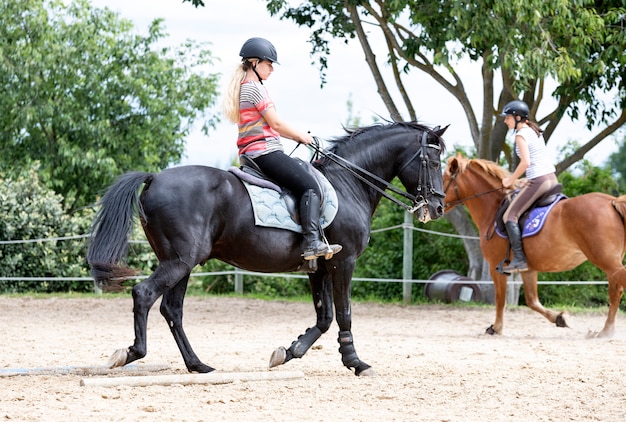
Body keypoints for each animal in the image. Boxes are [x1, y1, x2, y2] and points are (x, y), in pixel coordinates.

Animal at [88, 122, 446, 376]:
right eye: (433, 161)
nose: (438, 207)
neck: (349, 185)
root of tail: (155, 178)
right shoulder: (344, 262)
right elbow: (344, 313)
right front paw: (356, 362)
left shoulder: (319, 267)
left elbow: (325, 316)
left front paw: (288, 352)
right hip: (179, 261)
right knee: (144, 295)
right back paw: (132, 353)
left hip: (182, 263)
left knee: (172, 310)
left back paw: (198, 365)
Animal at [442, 154, 624, 336]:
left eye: (443, 180)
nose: (435, 208)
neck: (493, 209)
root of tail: (611, 201)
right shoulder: (528, 269)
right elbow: (532, 301)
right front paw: (560, 318)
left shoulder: (496, 266)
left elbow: (500, 299)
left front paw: (496, 328)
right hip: (611, 264)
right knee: (616, 291)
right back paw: (607, 330)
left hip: (606, 261)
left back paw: (606, 331)